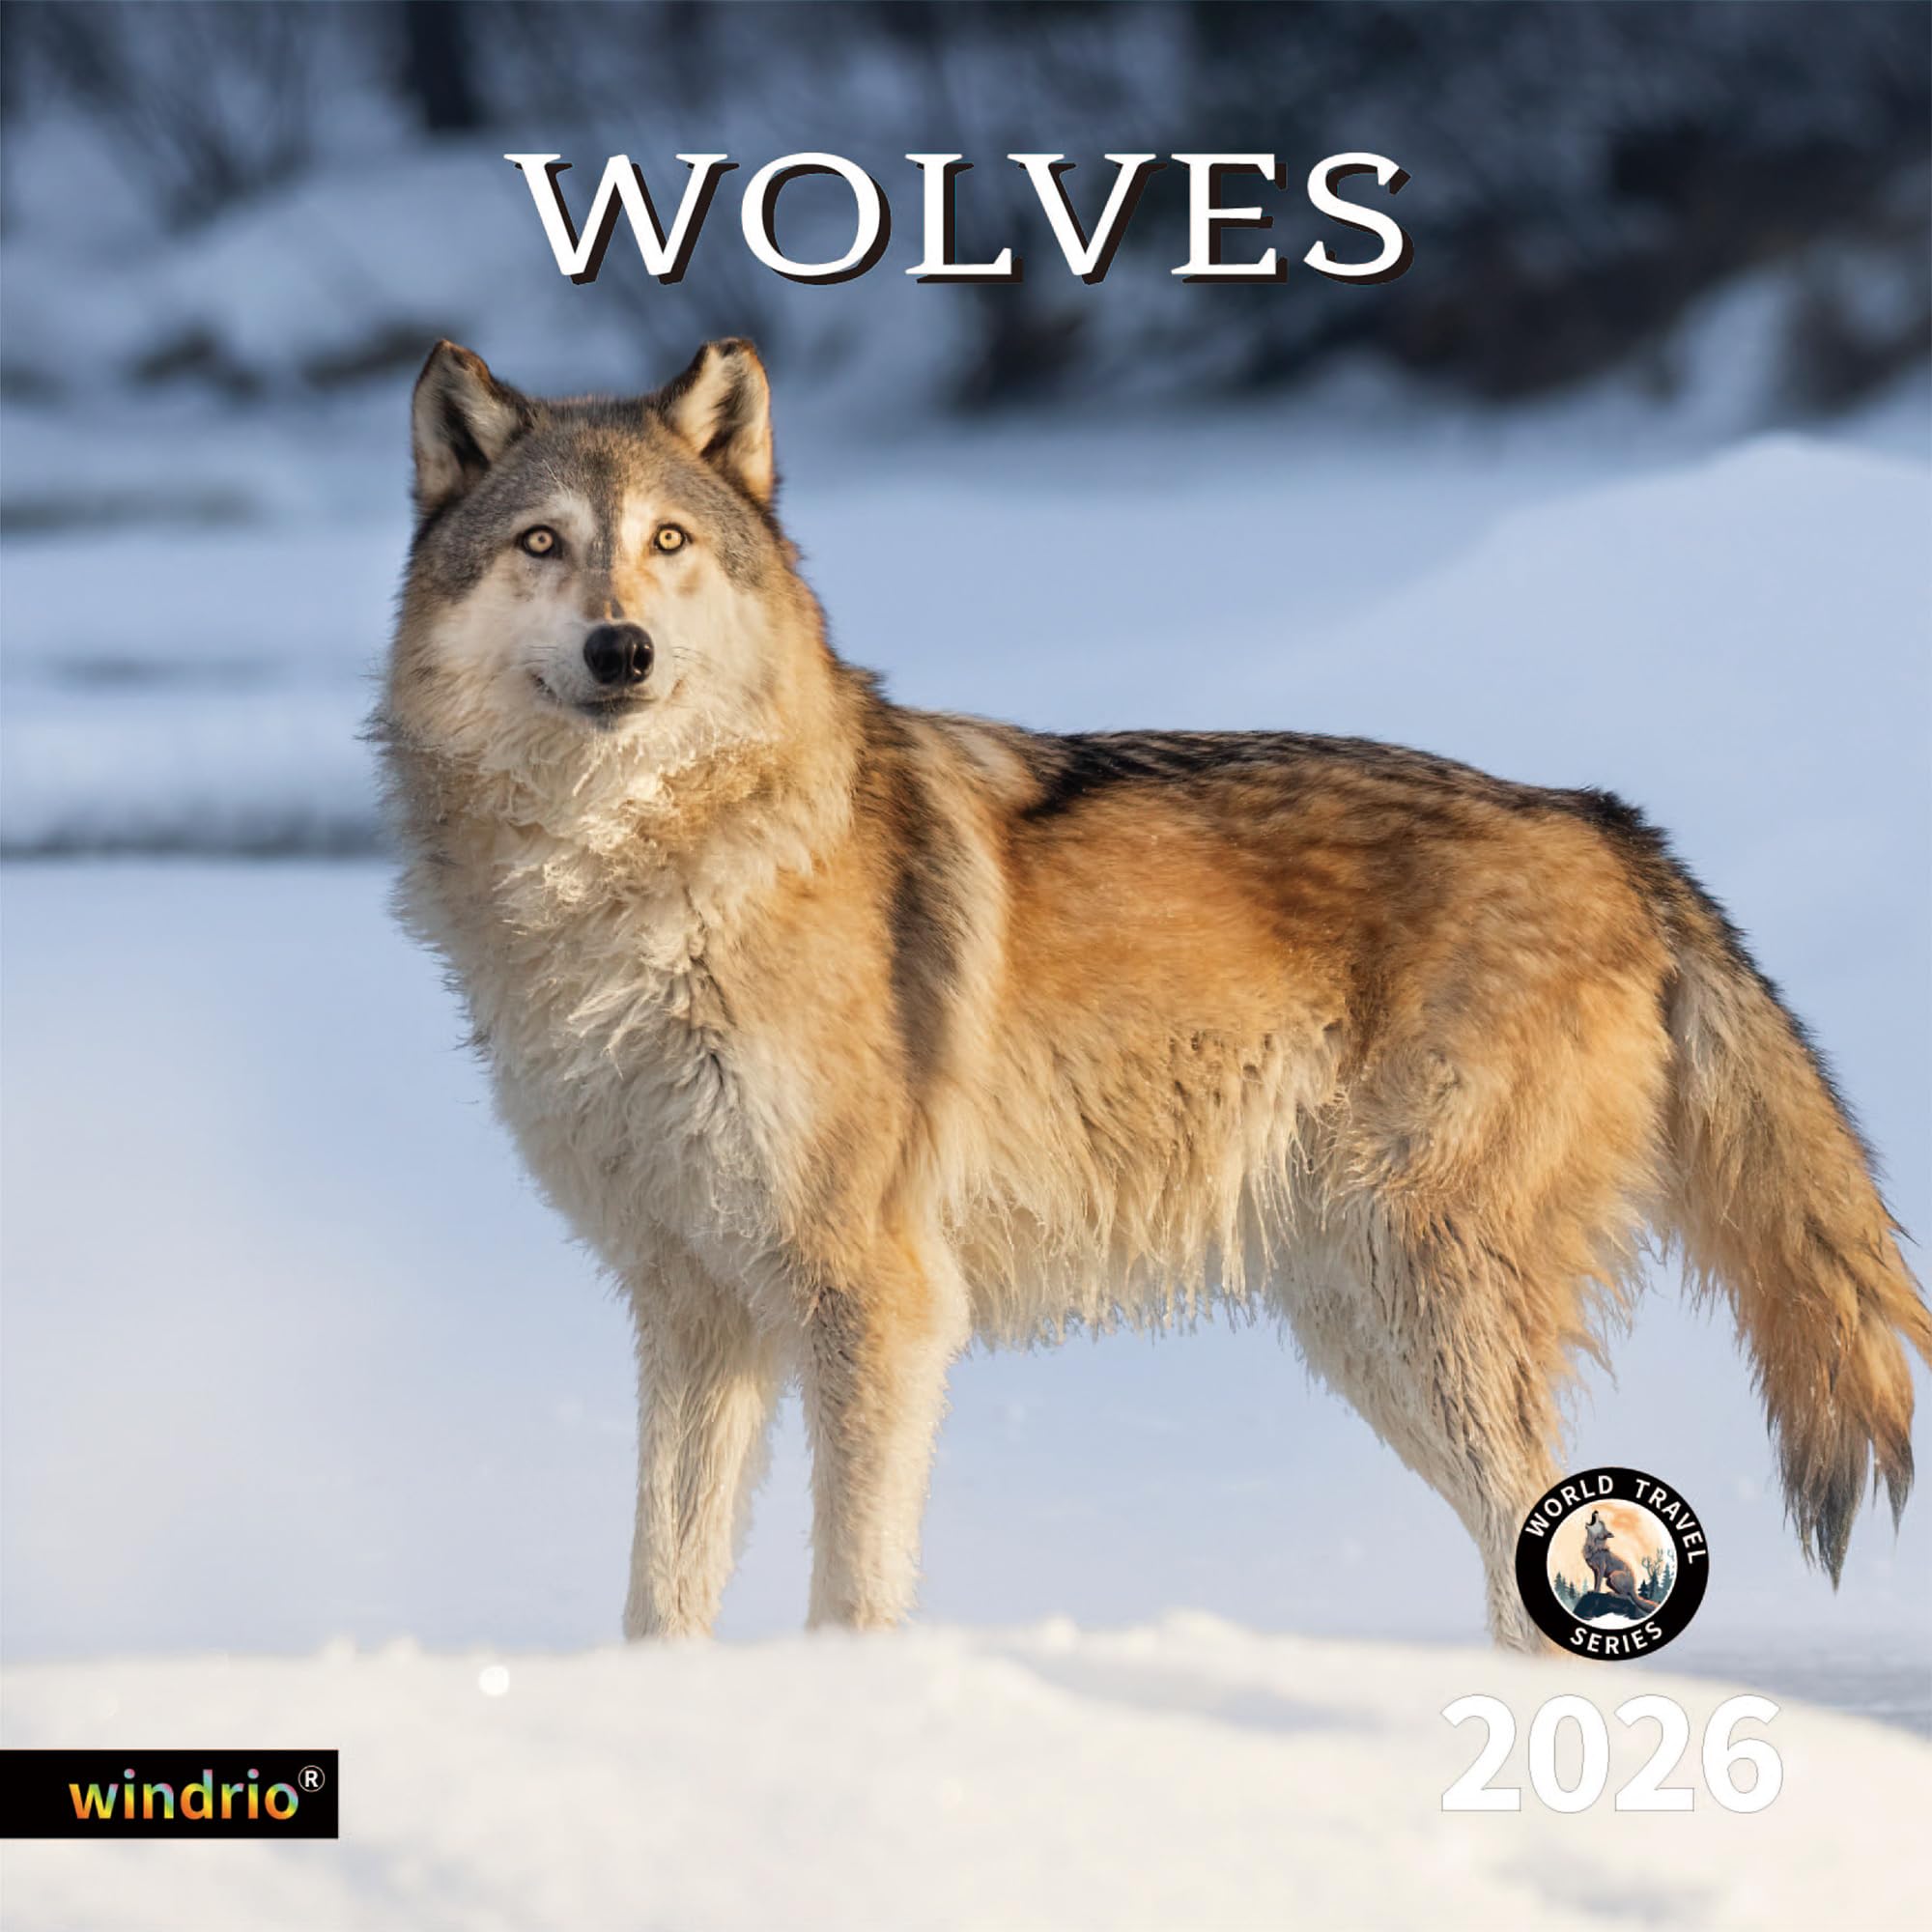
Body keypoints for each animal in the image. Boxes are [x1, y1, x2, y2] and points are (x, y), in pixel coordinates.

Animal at [376, 335, 1930, 1648]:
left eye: (670, 543)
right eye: (542, 543)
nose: (621, 649)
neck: (642, 880)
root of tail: (1612, 825)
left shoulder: (877, 1299)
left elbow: (853, 1584)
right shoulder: (694, 1311)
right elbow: (662, 1590)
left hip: (1416, 1301)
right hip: (1359, 1321)